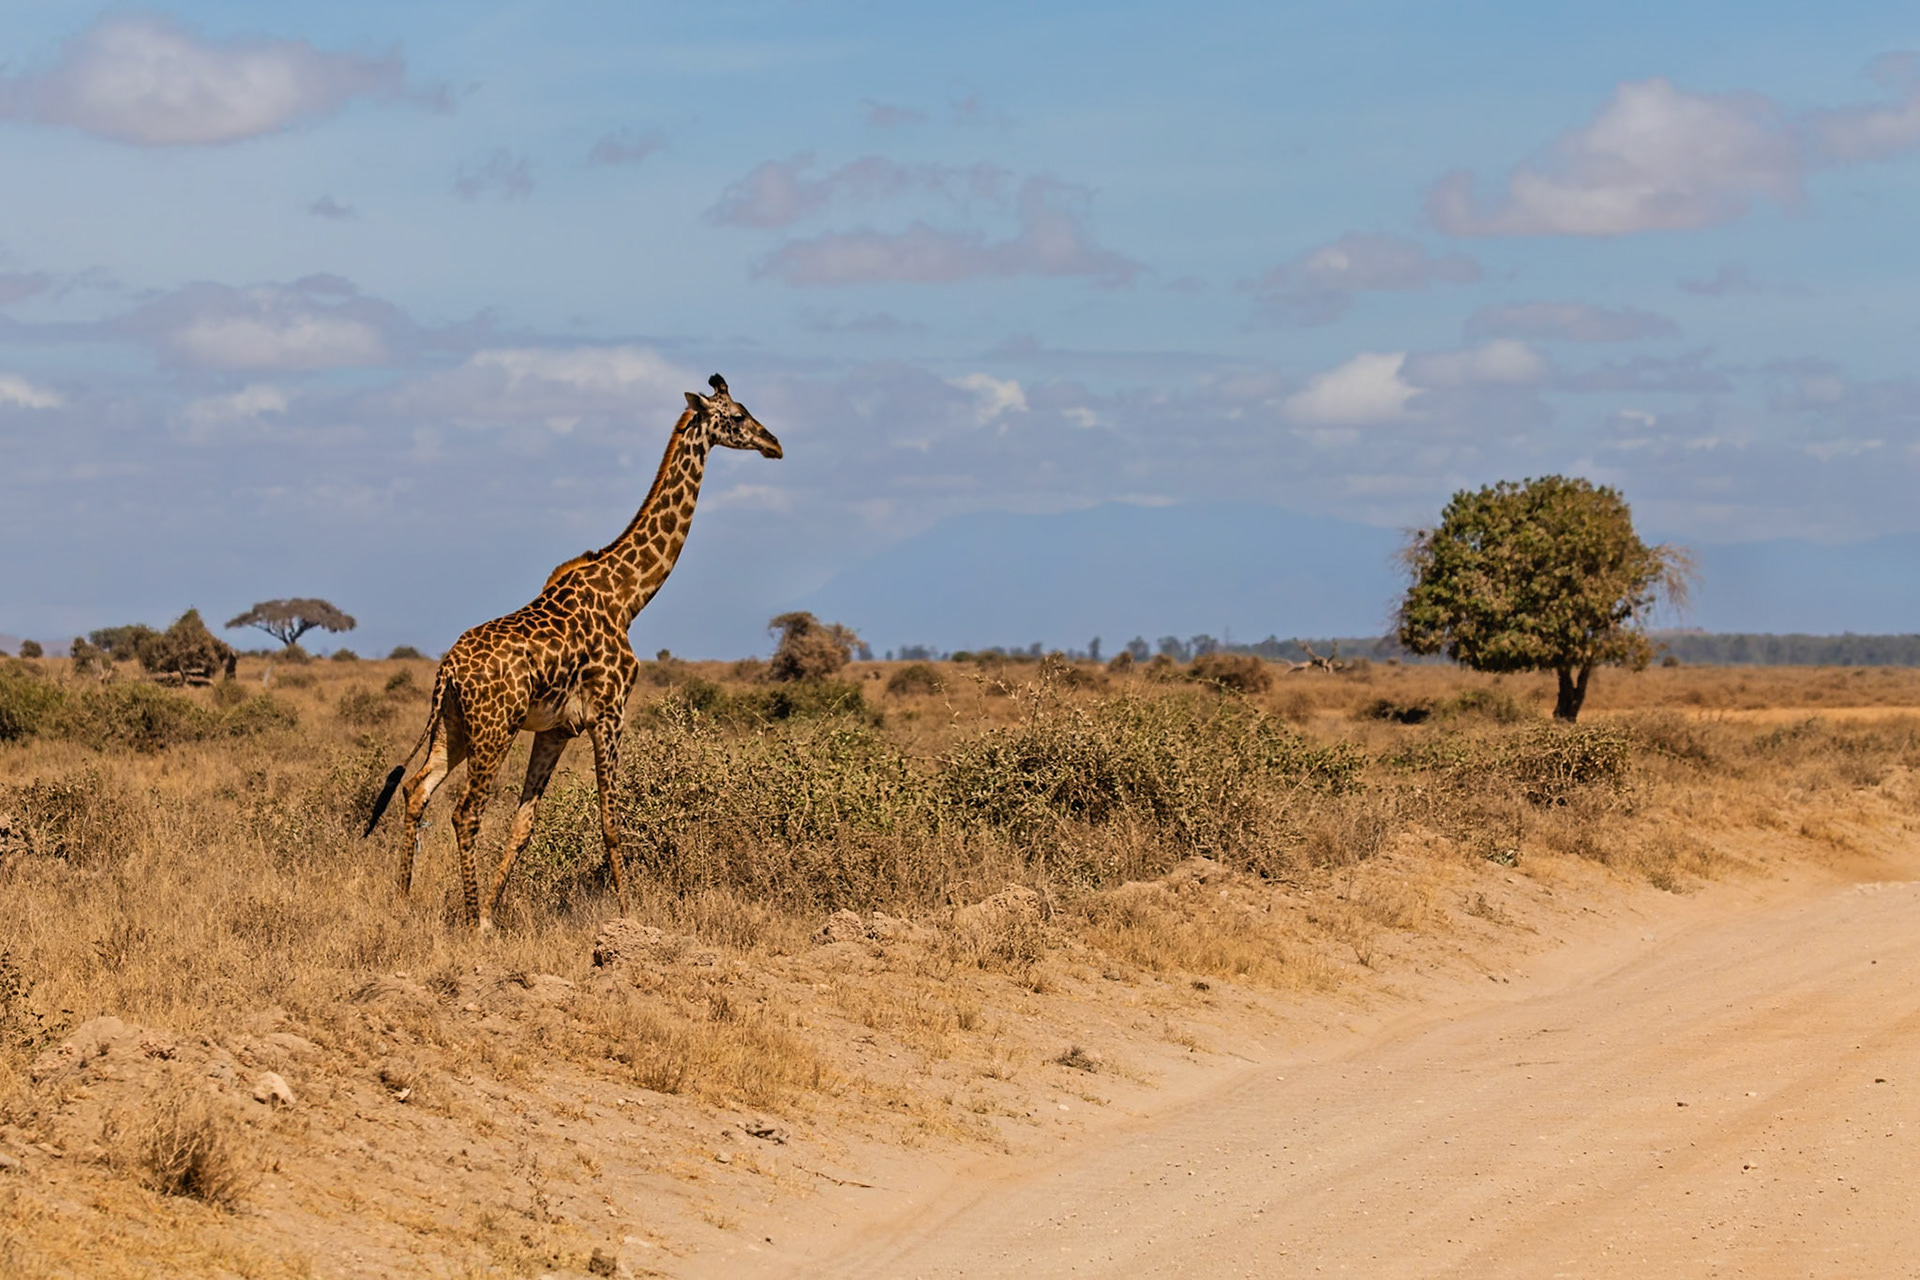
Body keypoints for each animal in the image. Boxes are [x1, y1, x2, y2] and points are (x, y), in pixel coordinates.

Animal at [363, 374, 782, 930]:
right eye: (736, 416)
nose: (774, 444)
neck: (628, 596)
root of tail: (448, 670)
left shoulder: (557, 728)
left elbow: (525, 824)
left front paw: (496, 910)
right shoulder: (610, 712)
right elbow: (610, 821)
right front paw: (627, 917)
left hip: (453, 724)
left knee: (417, 790)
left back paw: (404, 901)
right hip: (494, 728)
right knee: (465, 811)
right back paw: (470, 920)